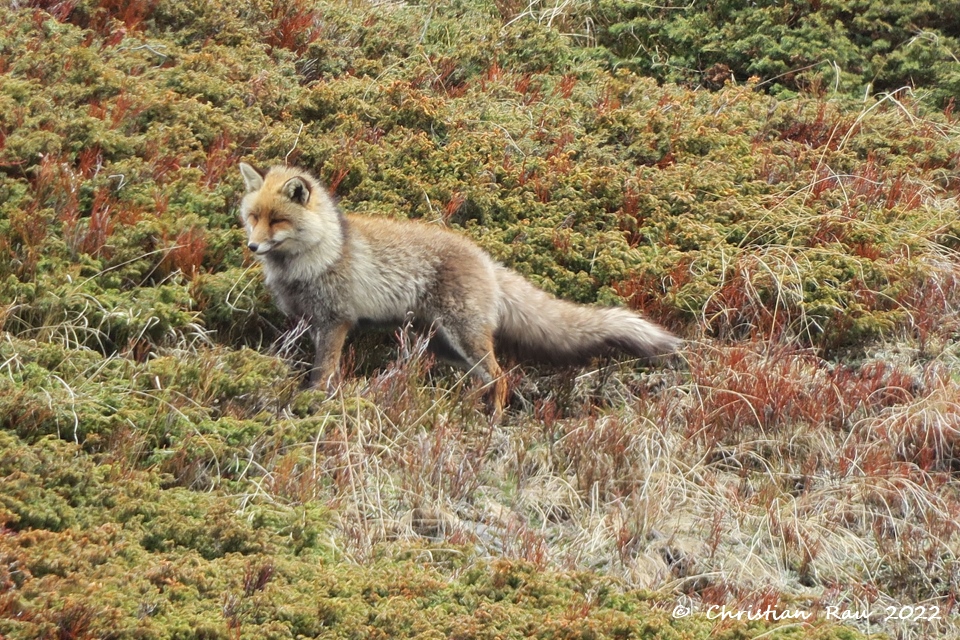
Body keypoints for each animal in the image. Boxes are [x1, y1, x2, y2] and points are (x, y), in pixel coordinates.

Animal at [237, 164, 680, 410]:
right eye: (253, 217)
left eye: (278, 220)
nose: (252, 246)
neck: (320, 254)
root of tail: (485, 259)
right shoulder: (309, 322)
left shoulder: (335, 322)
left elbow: (323, 372)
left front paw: (315, 402)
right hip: (444, 345)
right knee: (481, 380)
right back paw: (462, 411)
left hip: (463, 337)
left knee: (501, 377)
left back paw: (492, 423)